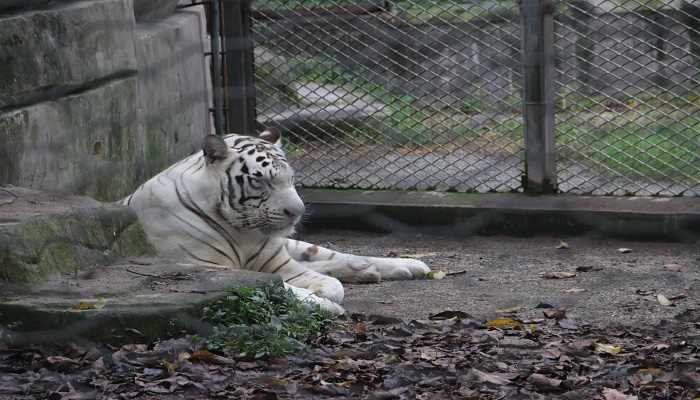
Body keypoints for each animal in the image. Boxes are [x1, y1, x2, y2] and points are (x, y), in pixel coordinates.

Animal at [122, 129, 430, 313]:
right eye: (260, 181)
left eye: (291, 178)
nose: (298, 211)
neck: (242, 232)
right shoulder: (209, 268)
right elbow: (291, 287)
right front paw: (324, 302)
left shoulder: (276, 260)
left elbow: (326, 282)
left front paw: (323, 291)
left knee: (333, 254)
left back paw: (401, 265)